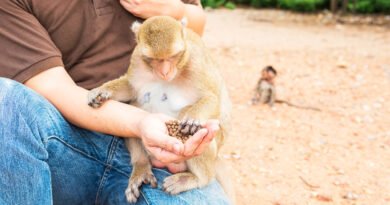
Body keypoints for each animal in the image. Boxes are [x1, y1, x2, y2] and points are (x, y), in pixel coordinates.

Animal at [87, 16, 233, 203]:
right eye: (152, 58)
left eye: (173, 56)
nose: (164, 72)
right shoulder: (137, 60)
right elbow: (131, 89)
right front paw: (102, 91)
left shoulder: (196, 62)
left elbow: (214, 99)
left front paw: (193, 116)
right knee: (134, 107)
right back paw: (141, 166)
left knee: (207, 132)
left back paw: (197, 178)